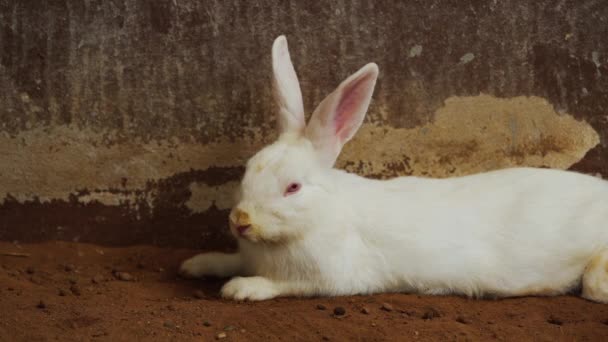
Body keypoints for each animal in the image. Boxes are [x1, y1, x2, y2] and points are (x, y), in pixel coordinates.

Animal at [179, 35, 608, 302]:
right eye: (247, 170)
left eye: (294, 187)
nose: (241, 221)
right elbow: (228, 260)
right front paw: (197, 264)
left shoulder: (330, 277)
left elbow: (288, 285)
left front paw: (242, 288)